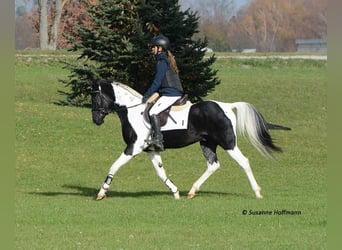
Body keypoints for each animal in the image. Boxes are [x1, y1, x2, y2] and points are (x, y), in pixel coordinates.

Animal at [89, 81, 290, 200]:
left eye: (95, 97)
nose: (96, 120)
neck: (133, 111)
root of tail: (226, 106)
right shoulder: (151, 150)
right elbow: (161, 172)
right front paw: (175, 192)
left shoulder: (134, 147)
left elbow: (114, 166)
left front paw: (101, 192)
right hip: (207, 143)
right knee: (213, 165)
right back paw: (192, 191)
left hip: (228, 143)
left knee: (244, 162)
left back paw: (257, 192)